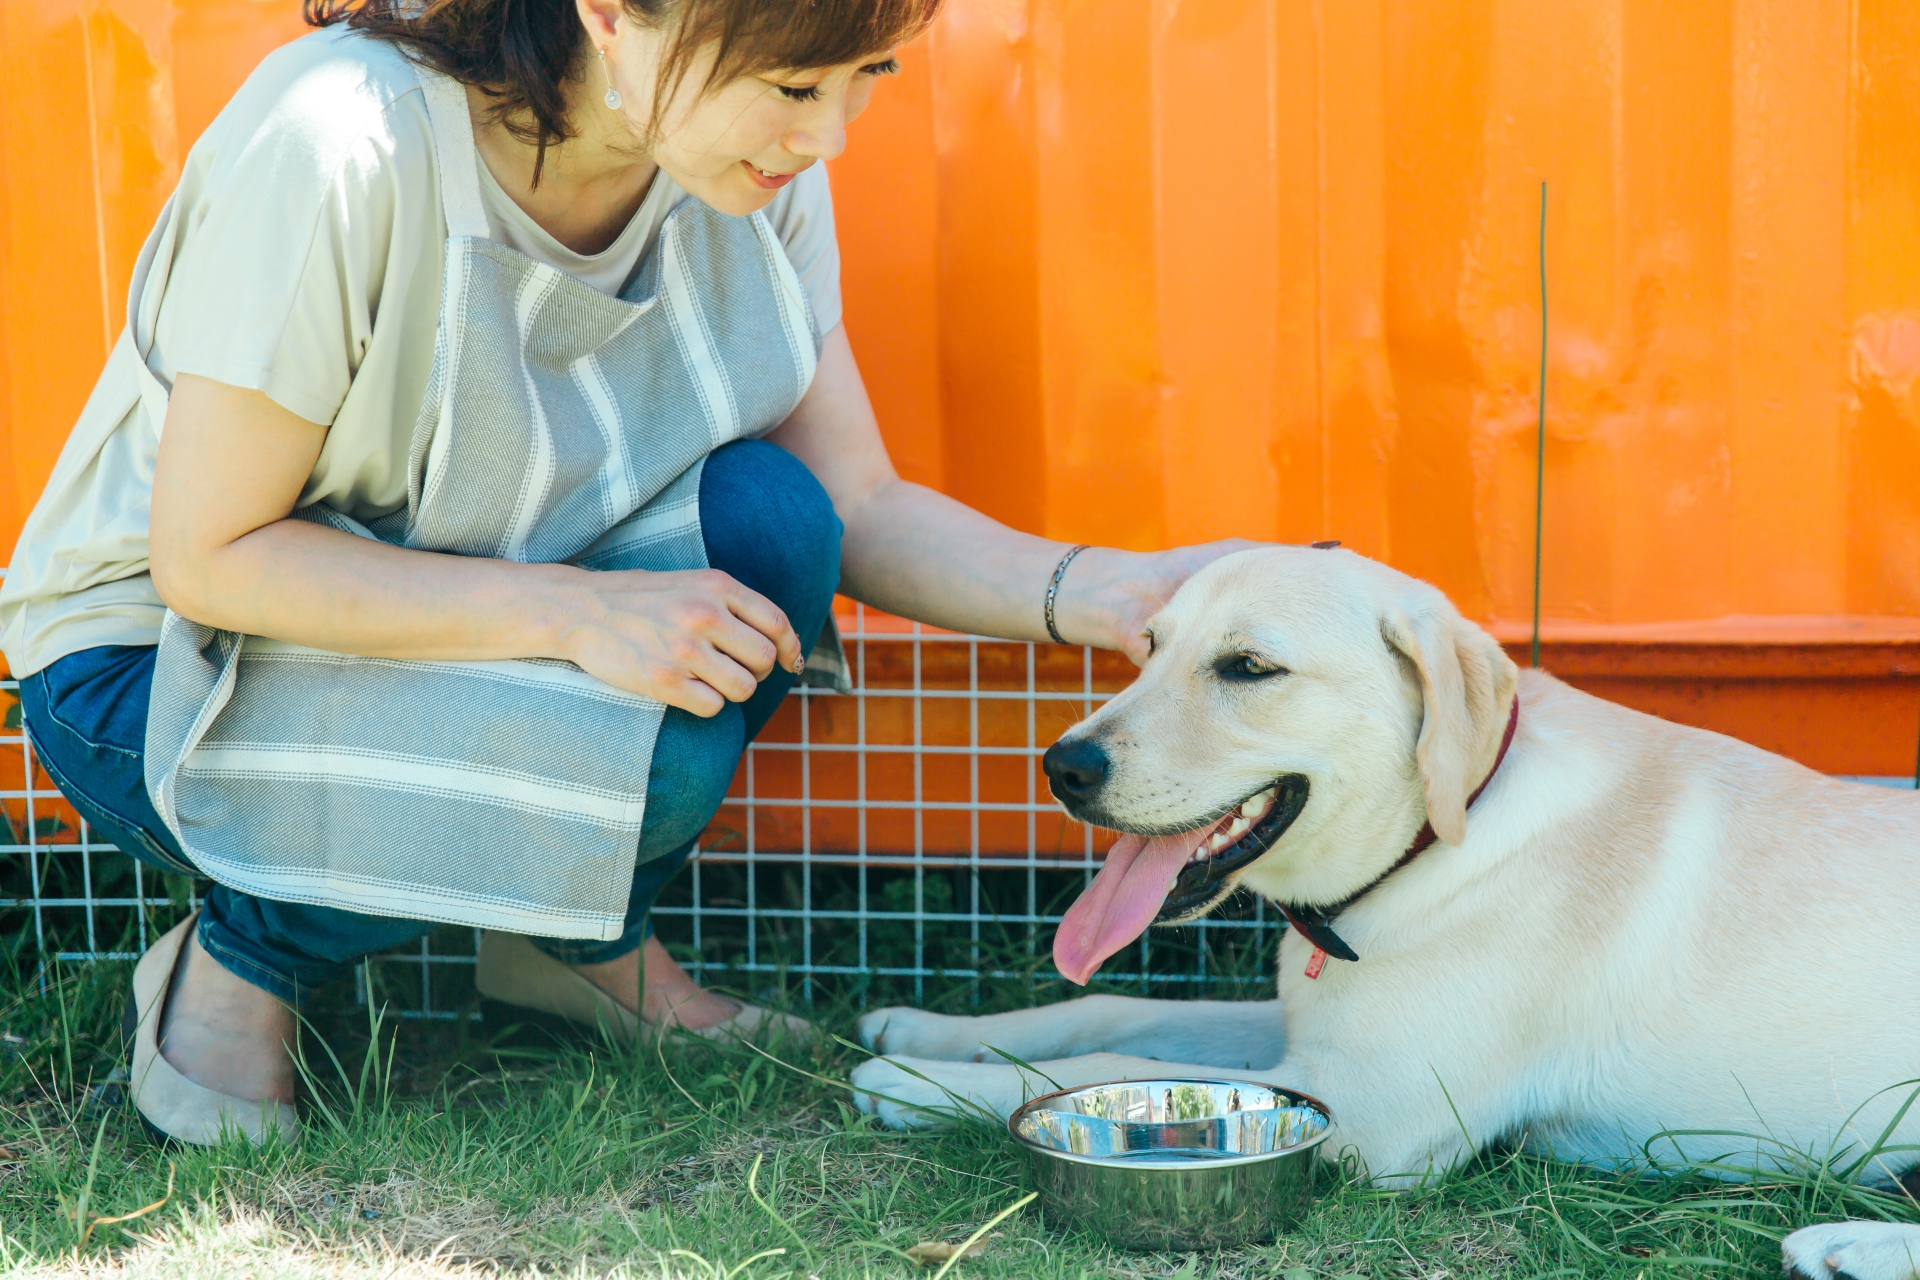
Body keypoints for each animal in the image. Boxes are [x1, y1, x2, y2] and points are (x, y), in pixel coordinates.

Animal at [852, 545, 1920, 1280]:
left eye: (1248, 668)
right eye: (1149, 648)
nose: (1062, 766)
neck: (1442, 835)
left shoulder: (1375, 1114)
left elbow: (1103, 1069)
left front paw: (914, 1080)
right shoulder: (1311, 1031)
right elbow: (1111, 1013)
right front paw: (926, 1030)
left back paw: (1849, 1245)